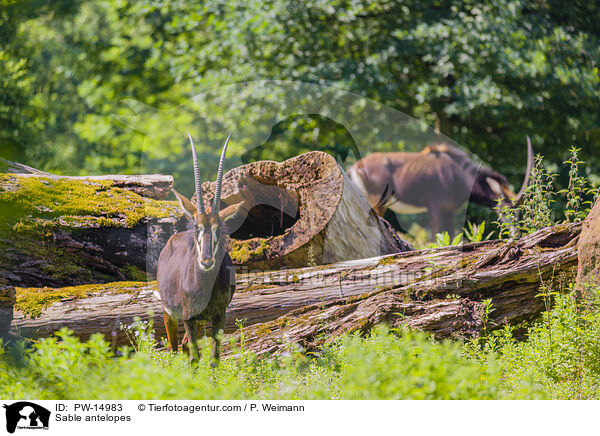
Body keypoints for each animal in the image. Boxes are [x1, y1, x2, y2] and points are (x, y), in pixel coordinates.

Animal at [159, 134, 246, 364]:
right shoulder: (188, 317)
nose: (206, 261)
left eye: (219, 228)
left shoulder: (219, 315)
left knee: (183, 346)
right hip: (169, 313)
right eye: (196, 226)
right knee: (174, 348)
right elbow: (195, 358)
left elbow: (214, 358)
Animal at [346, 138, 536, 237]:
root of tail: (354, 167)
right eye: (507, 209)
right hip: (377, 202)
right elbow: (435, 235)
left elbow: (451, 237)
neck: (457, 173)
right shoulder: (435, 208)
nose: (517, 234)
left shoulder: (448, 211)